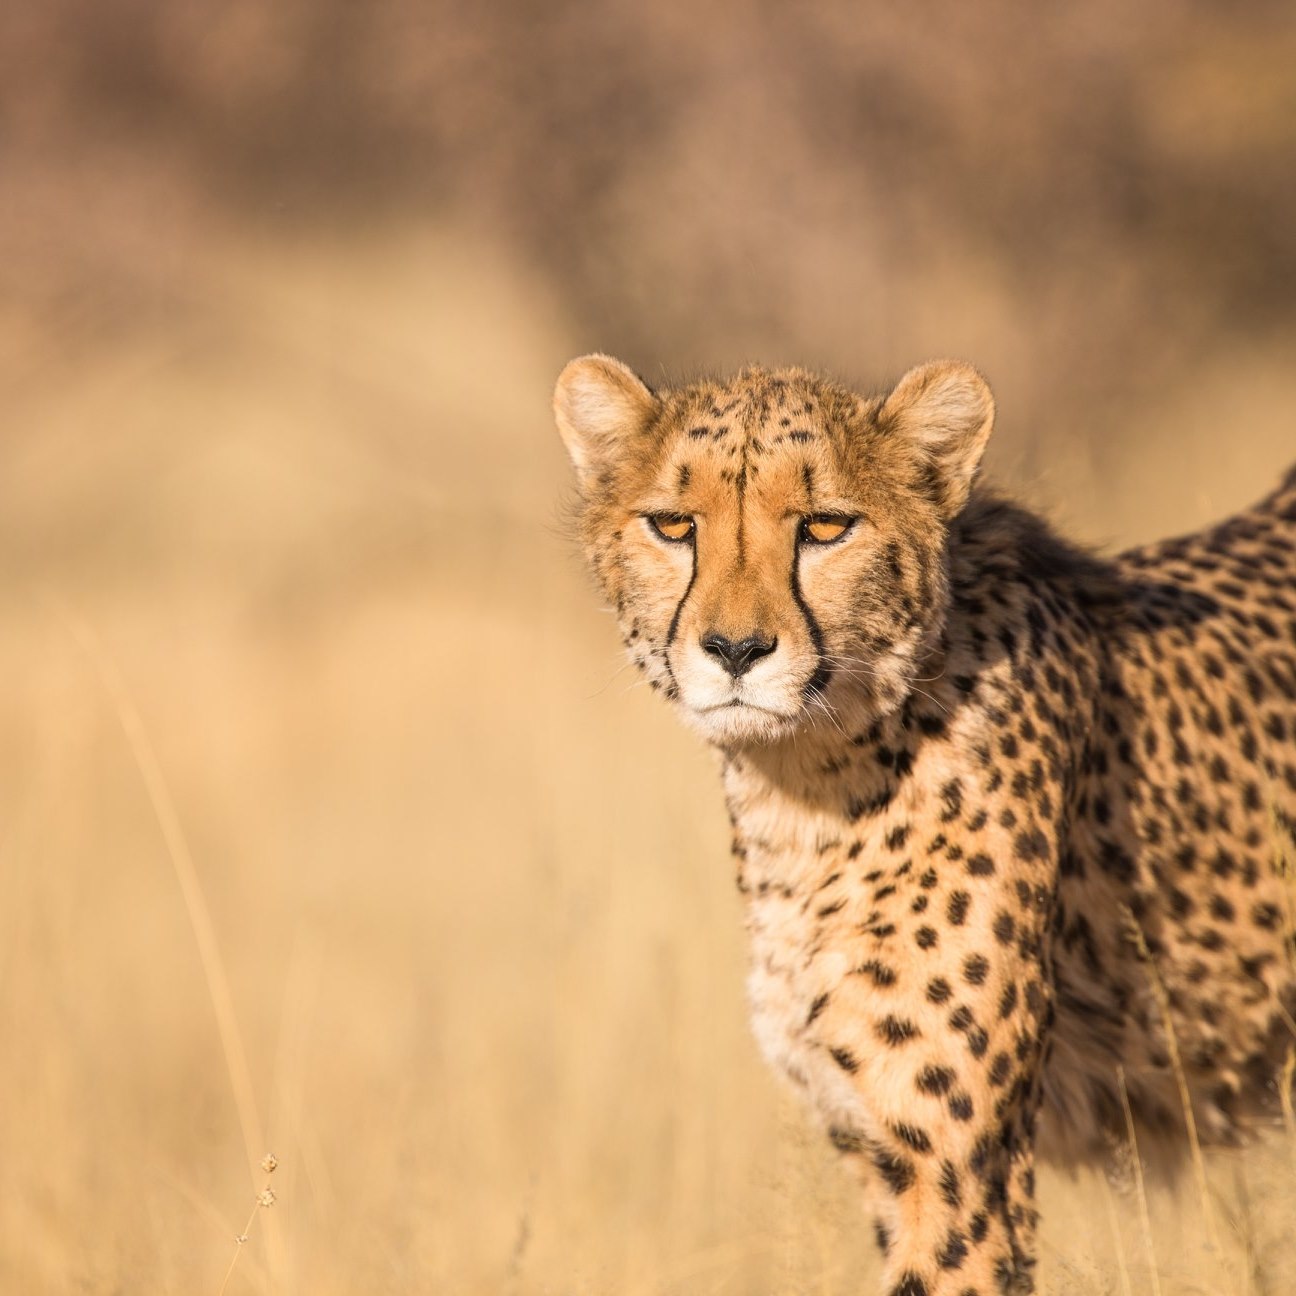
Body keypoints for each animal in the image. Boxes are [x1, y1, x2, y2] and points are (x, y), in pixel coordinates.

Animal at [552, 353, 1296, 1296]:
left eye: (826, 527)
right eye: (674, 524)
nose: (734, 651)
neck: (805, 789)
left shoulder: (954, 1161)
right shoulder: (875, 1142)